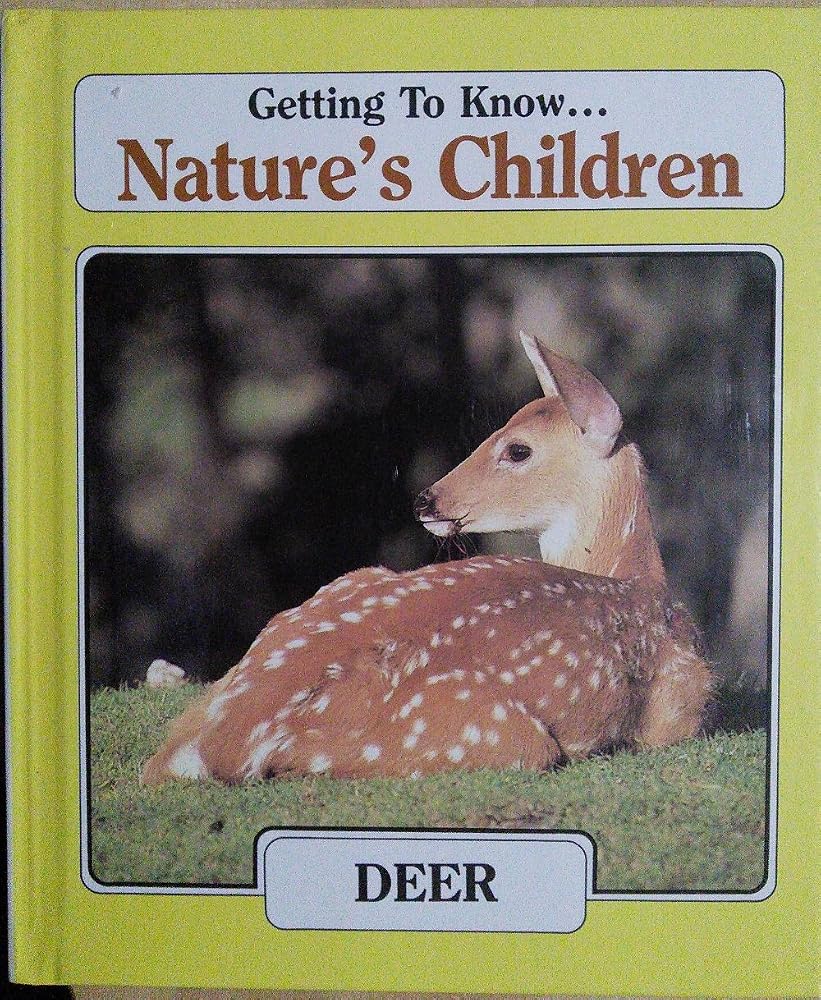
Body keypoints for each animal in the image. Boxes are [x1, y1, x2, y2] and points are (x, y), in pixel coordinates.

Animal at [141, 332, 713, 785]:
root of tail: (216, 741)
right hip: (492, 734)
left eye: (518, 449)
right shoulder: (680, 705)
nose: (426, 500)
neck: (636, 581)